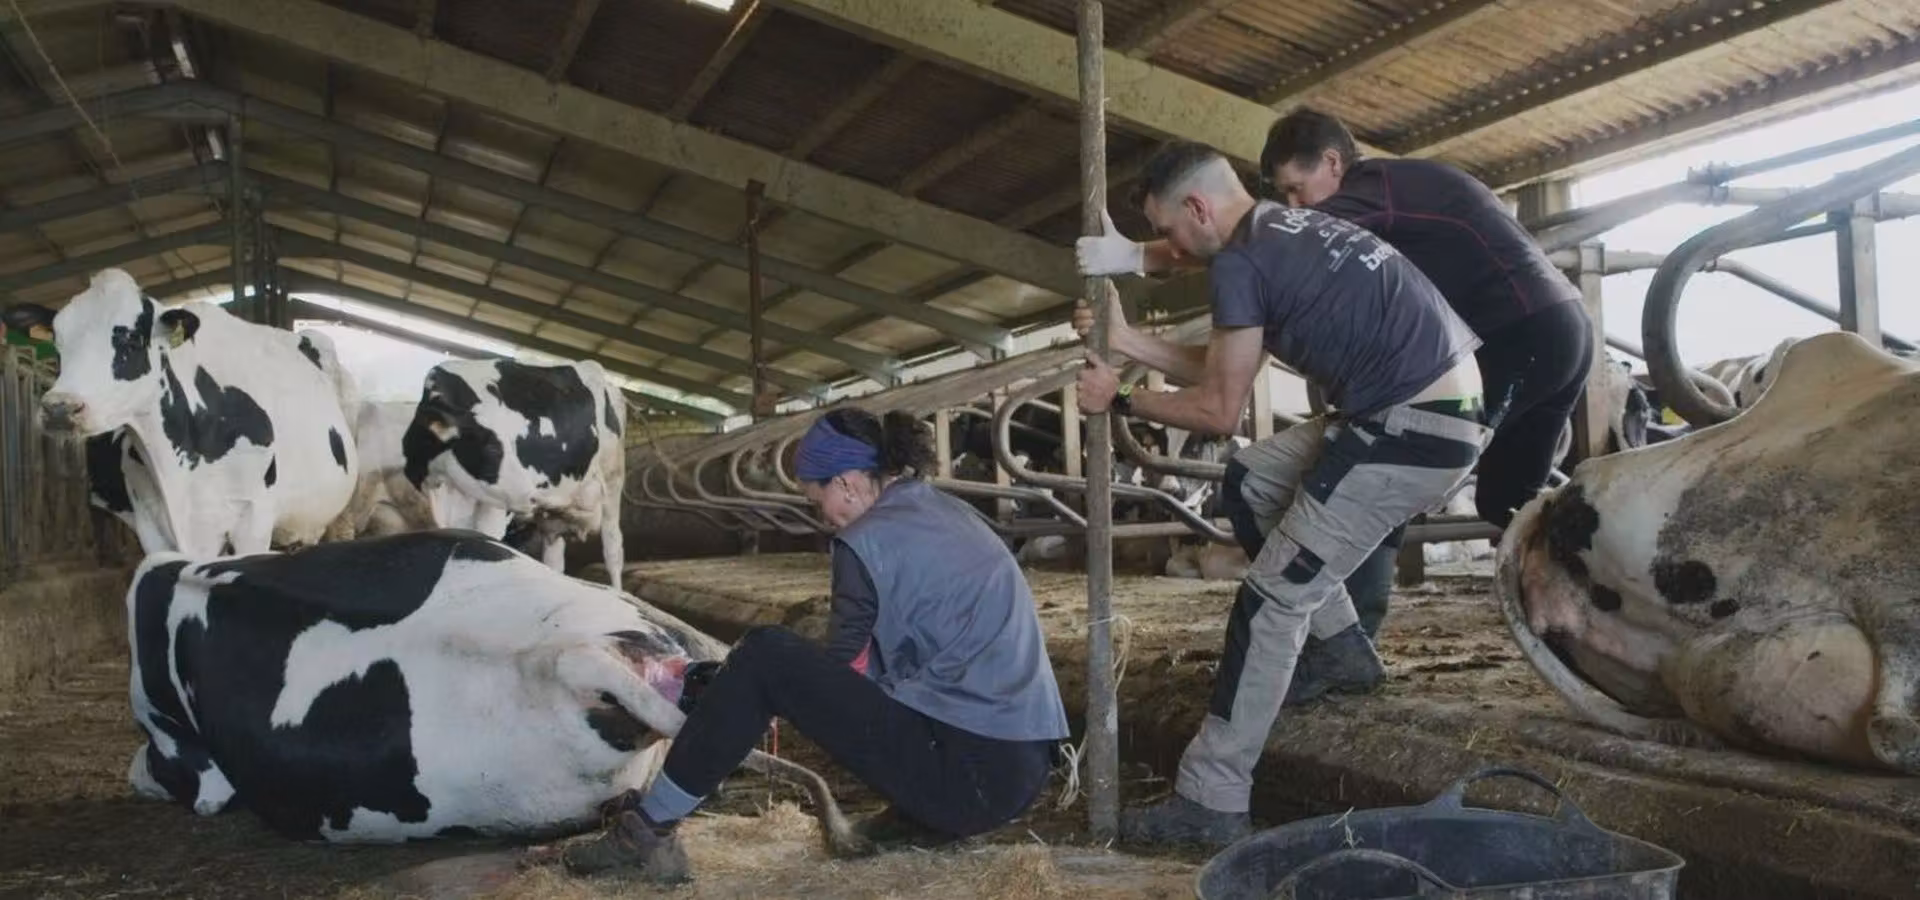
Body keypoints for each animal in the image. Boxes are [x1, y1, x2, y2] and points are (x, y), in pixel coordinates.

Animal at [402, 359, 627, 588]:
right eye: (491, 448)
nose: (532, 497)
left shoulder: (496, 508)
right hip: (554, 517)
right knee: (555, 559)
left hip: (613, 478)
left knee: (613, 549)